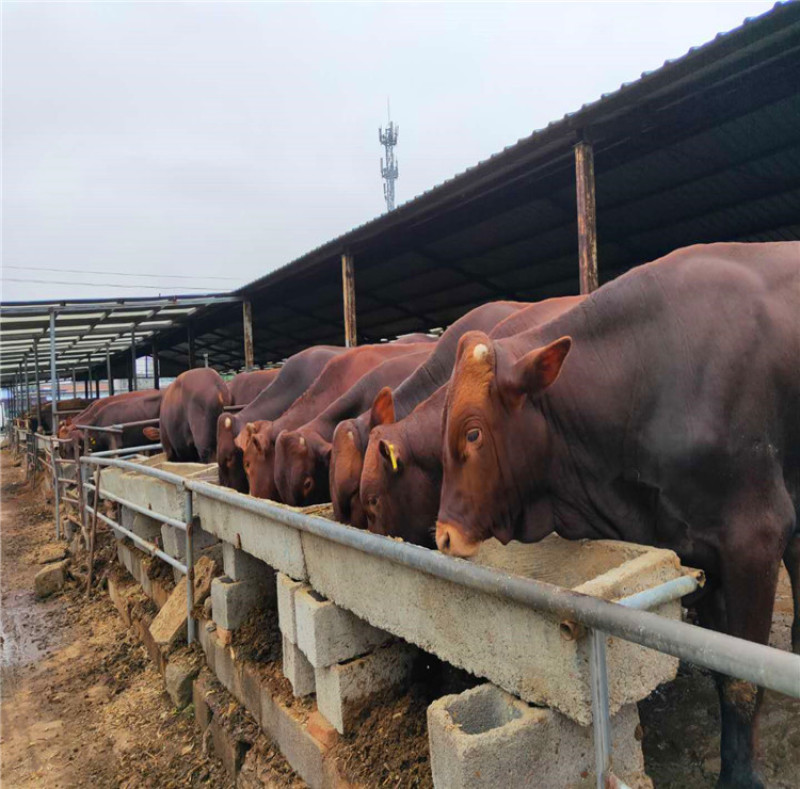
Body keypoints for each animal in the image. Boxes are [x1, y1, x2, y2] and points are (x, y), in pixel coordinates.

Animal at [438, 242, 800, 788]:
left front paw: (739, 776)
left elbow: (741, 681)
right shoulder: (701, 553)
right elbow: (720, 669)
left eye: (474, 432)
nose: (443, 535)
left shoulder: (754, 539)